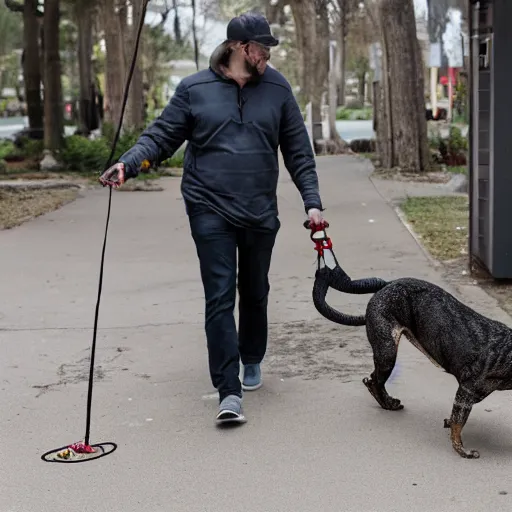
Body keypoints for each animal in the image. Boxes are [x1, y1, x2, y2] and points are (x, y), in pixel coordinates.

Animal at [314, 268, 510, 460]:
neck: (506, 353)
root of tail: (388, 284)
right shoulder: (465, 393)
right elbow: (458, 424)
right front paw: (462, 450)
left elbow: (454, 419)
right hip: (387, 353)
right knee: (374, 381)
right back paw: (387, 403)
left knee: (372, 380)